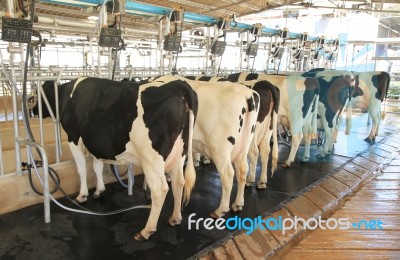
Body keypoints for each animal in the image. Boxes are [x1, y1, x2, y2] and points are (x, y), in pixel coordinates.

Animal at [32, 76, 198, 240]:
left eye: (35, 96)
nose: (32, 110)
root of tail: (176, 85)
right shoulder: (97, 144)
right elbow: (97, 166)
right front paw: (99, 191)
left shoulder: (74, 138)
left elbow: (82, 169)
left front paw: (82, 196)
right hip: (180, 153)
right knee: (178, 182)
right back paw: (175, 218)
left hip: (152, 158)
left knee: (160, 190)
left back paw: (146, 231)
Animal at [152, 74, 260, 217]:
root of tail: (248, 94)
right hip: (244, 145)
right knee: (242, 169)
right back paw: (237, 204)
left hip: (220, 149)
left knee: (228, 174)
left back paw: (220, 210)